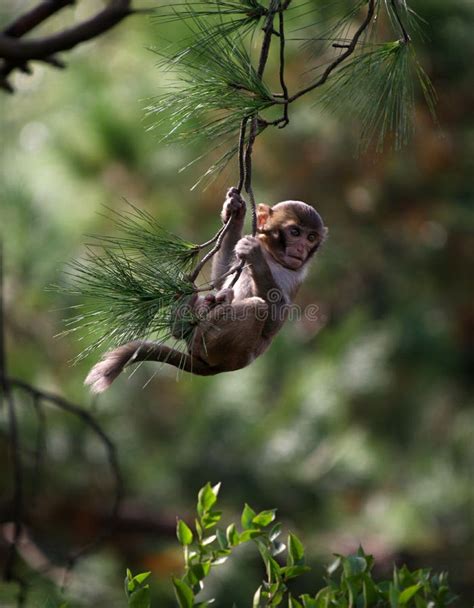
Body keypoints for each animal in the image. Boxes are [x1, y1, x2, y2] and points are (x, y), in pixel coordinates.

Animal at [86, 188, 326, 392]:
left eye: (311, 237)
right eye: (295, 232)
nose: (301, 248)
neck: (272, 255)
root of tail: (220, 369)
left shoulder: (293, 276)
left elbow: (273, 323)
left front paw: (254, 256)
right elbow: (222, 275)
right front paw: (234, 211)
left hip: (230, 352)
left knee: (257, 307)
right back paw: (185, 315)